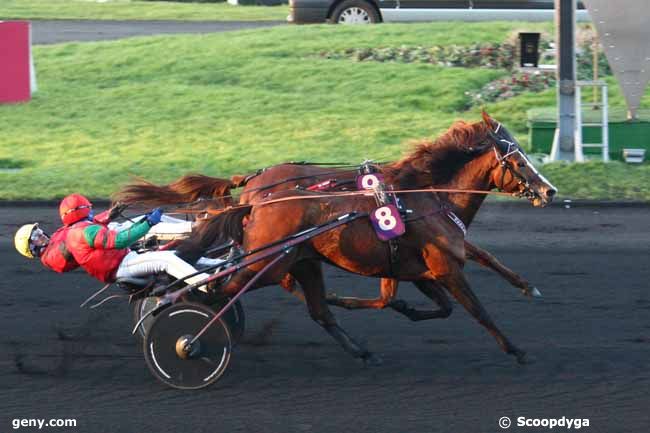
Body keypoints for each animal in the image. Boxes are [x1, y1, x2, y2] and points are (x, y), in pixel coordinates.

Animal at [175, 115, 556, 364]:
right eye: (519, 162)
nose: (549, 191)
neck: (427, 197)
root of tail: (255, 192)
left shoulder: (414, 267)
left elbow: (464, 278)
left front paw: (527, 286)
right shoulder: (445, 267)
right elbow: (477, 310)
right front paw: (516, 350)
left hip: (298, 260)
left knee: (315, 308)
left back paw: (360, 349)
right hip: (269, 262)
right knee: (221, 290)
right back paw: (192, 332)